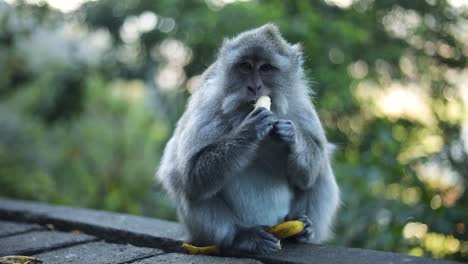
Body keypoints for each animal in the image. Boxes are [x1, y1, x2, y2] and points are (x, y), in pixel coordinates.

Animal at [155, 23, 338, 255]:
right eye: (245, 66)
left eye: (266, 68)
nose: (254, 87)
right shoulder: (209, 106)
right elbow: (191, 175)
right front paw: (250, 130)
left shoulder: (301, 106)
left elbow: (310, 171)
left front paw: (292, 136)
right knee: (180, 181)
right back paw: (241, 238)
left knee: (322, 169)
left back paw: (303, 230)